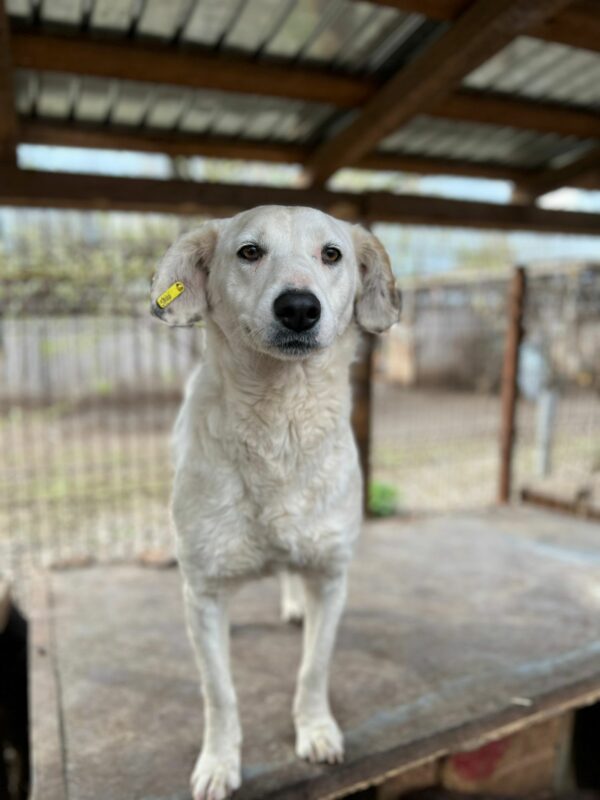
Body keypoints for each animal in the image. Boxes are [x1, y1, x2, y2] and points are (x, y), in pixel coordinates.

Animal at [152, 206, 400, 800]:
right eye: (249, 252)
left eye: (331, 254)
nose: (299, 307)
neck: (278, 425)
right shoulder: (204, 592)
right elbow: (219, 692)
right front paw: (219, 762)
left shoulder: (330, 577)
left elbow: (314, 669)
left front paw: (316, 731)